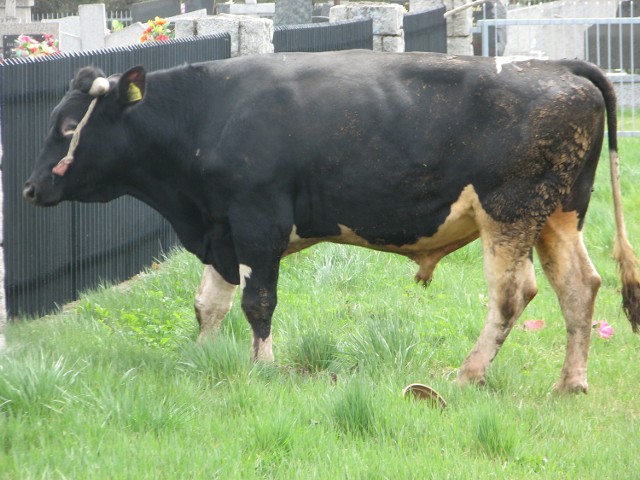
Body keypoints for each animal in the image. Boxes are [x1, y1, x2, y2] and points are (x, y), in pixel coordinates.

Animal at [22, 50, 636, 392]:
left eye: (70, 125)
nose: (29, 187)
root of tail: (555, 65)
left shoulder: (258, 219)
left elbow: (257, 302)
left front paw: (263, 368)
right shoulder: (221, 227)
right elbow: (208, 304)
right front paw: (201, 358)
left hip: (510, 214)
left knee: (513, 294)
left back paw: (468, 375)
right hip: (559, 214)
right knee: (579, 287)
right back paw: (570, 383)